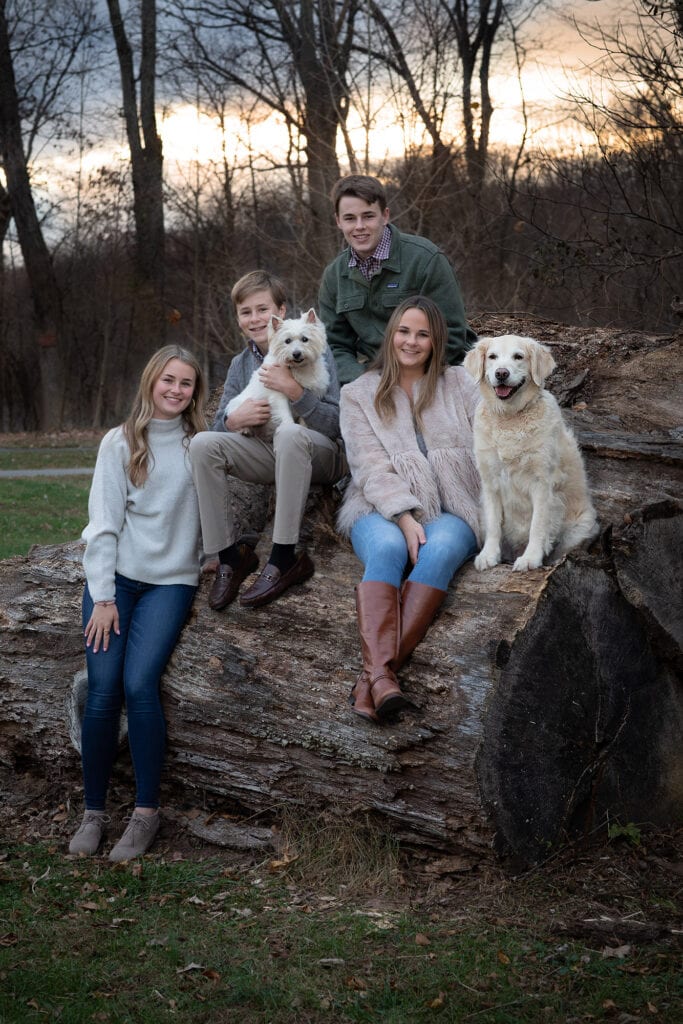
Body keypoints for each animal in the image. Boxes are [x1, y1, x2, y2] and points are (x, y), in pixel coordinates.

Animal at [225, 303, 329, 432]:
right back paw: (245, 430)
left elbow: (304, 415)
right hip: (238, 406)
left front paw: (305, 428)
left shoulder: (311, 393)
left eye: (305, 339)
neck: (296, 368)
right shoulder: (278, 395)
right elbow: (285, 413)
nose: (296, 354)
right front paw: (289, 426)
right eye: (287, 341)